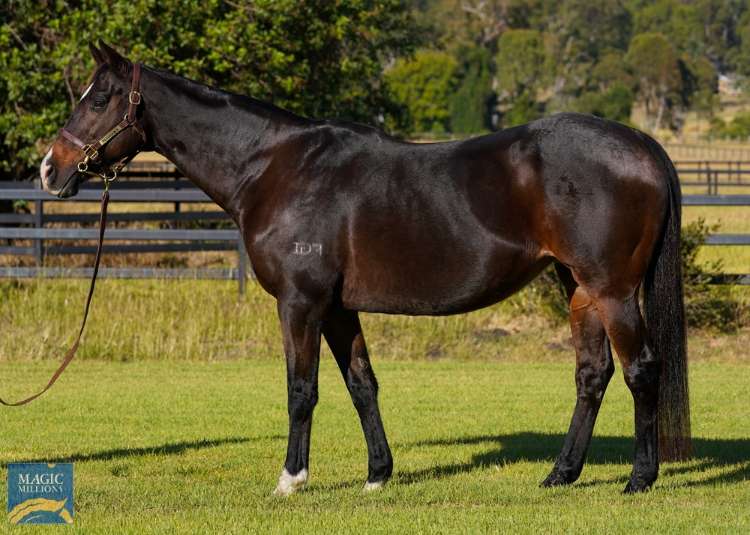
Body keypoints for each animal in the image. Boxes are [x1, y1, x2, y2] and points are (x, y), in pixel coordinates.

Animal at [39, 41, 690, 495]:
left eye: (99, 98)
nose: (50, 168)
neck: (275, 168)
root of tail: (642, 145)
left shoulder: (300, 303)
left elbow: (302, 389)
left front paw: (291, 480)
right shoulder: (338, 308)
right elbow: (362, 385)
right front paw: (378, 474)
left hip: (612, 290)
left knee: (641, 370)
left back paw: (639, 479)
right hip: (577, 287)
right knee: (591, 375)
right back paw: (561, 475)